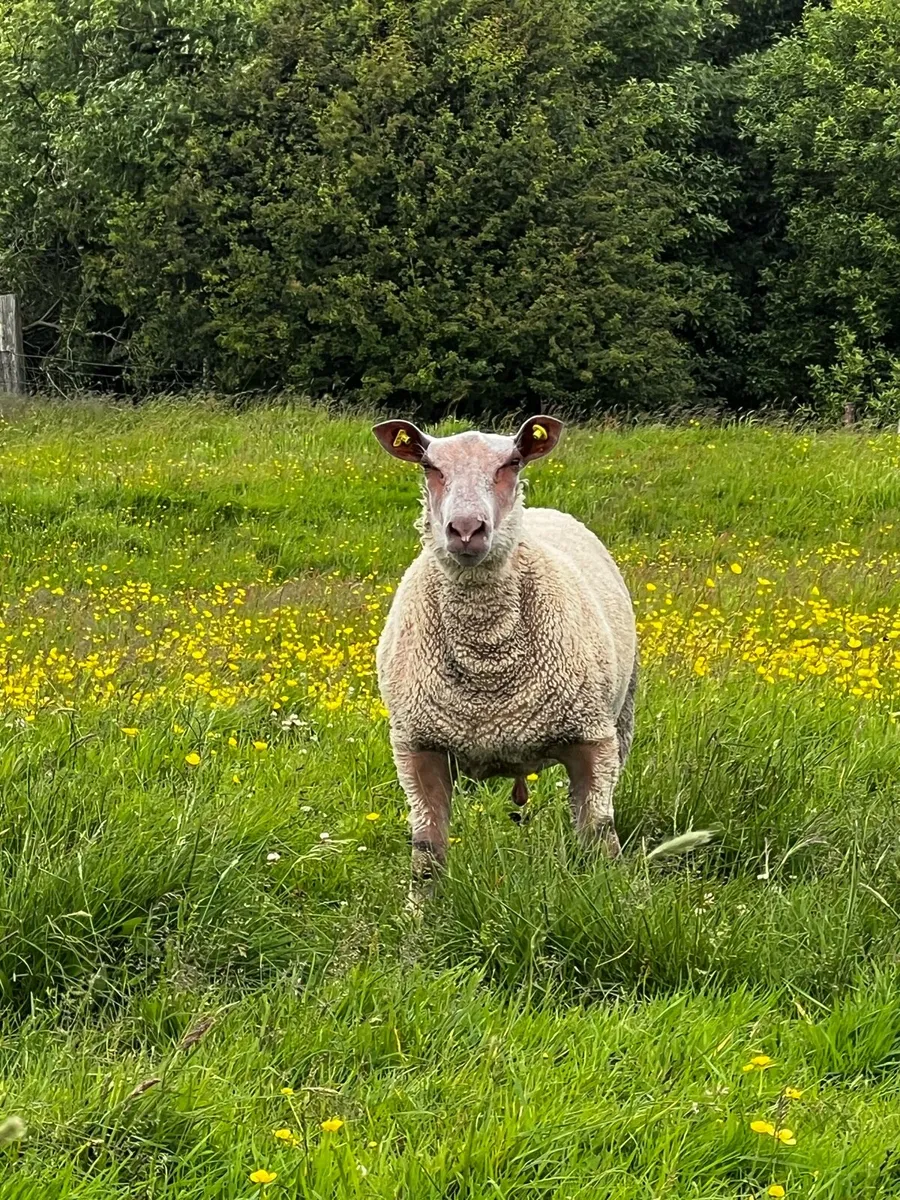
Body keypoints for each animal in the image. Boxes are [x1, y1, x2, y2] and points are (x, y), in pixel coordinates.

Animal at [372, 416, 637, 899]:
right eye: (429, 466)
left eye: (512, 462)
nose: (465, 529)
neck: (487, 662)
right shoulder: (417, 746)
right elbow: (427, 853)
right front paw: (418, 916)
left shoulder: (593, 738)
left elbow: (599, 836)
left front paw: (613, 900)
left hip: (622, 713)